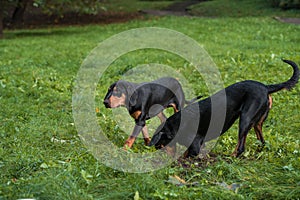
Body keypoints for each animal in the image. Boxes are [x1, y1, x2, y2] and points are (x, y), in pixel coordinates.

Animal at [149, 59, 298, 158]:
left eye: (159, 146)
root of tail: (266, 87)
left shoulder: (195, 145)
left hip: (245, 119)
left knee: (241, 147)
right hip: (257, 123)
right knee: (262, 141)